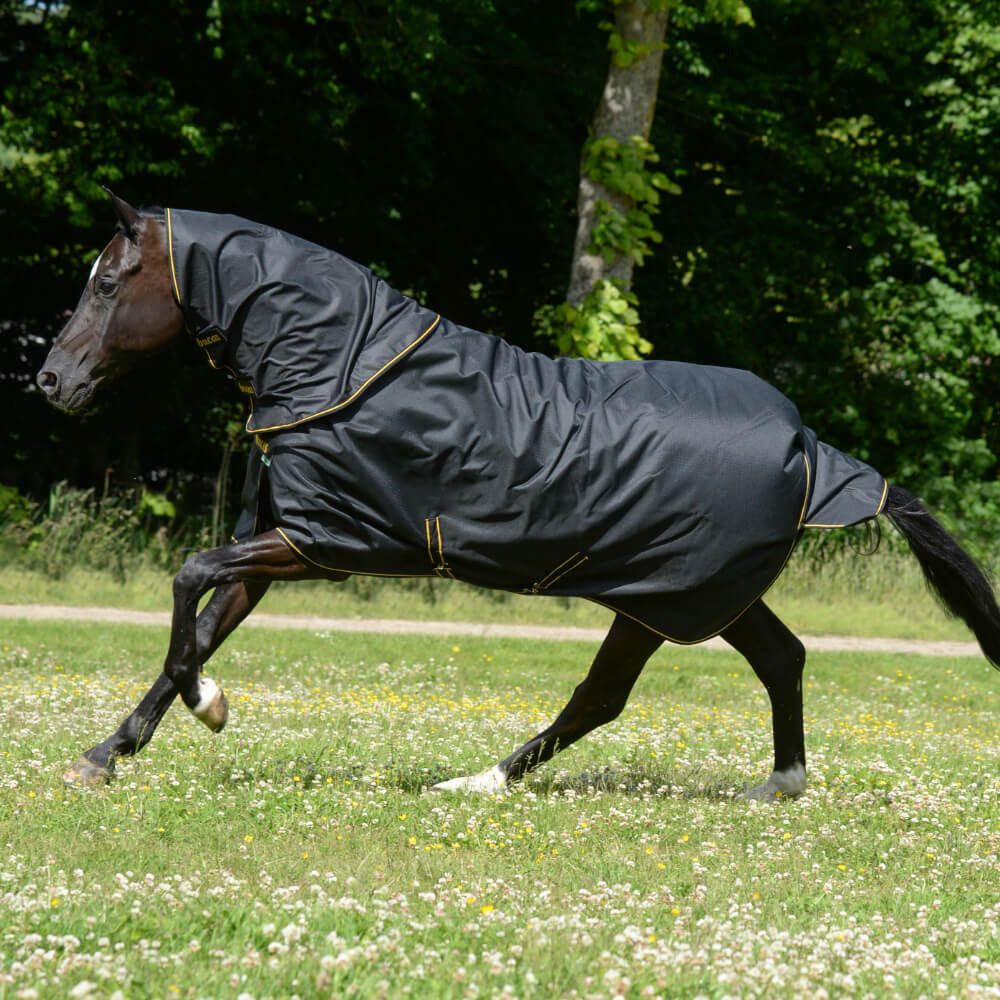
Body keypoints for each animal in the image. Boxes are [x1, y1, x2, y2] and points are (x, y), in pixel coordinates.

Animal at [37, 191, 1000, 800]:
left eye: (108, 283)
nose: (51, 381)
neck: (343, 367)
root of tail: (815, 450)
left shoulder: (333, 542)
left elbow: (189, 582)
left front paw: (209, 708)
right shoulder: (285, 544)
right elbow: (201, 624)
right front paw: (106, 754)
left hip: (662, 597)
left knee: (604, 697)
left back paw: (477, 781)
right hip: (702, 595)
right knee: (781, 658)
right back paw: (779, 785)